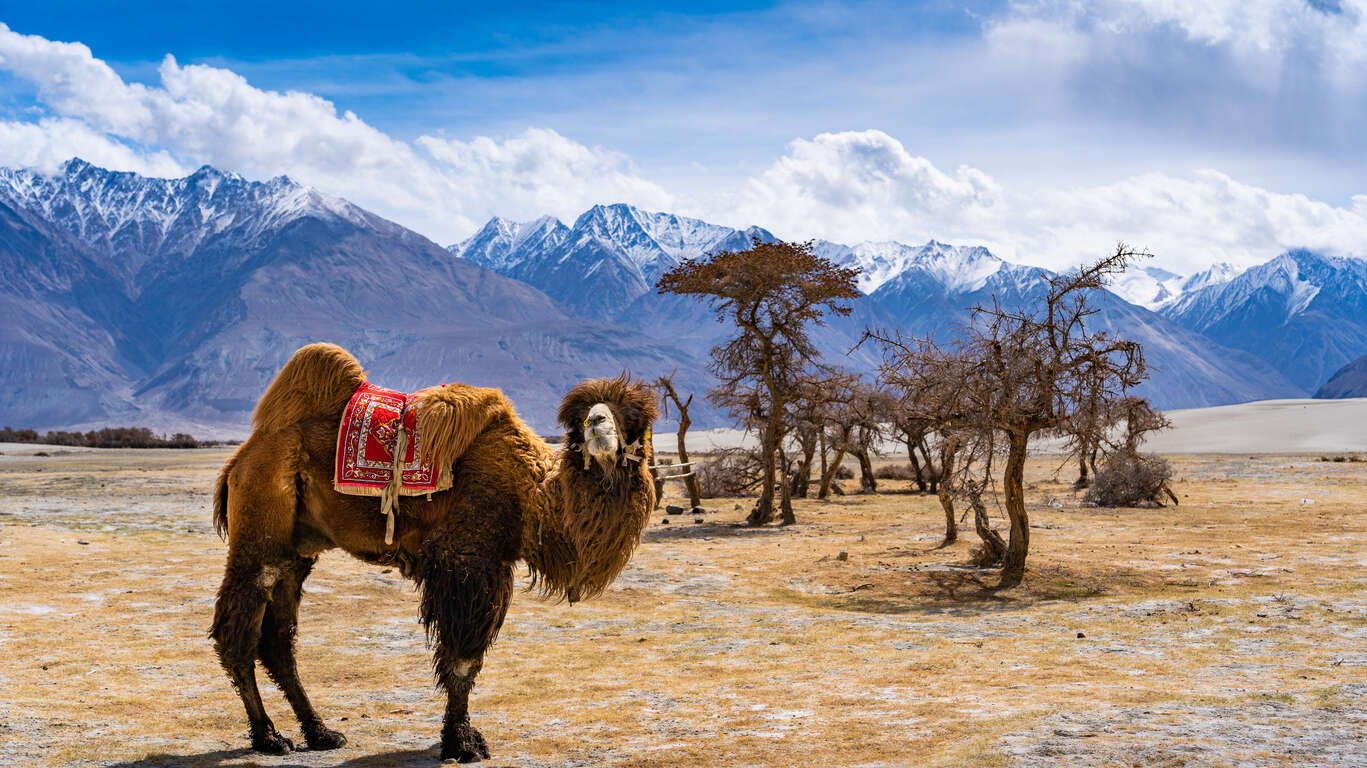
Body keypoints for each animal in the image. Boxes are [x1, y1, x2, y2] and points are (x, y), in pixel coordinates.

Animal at [210, 345, 658, 759]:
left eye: (635, 419)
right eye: (580, 419)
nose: (596, 422)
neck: (531, 496)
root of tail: (240, 460)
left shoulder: (489, 568)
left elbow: (466, 659)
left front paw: (462, 738)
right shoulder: (468, 562)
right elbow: (462, 660)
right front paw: (462, 743)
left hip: (297, 551)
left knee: (279, 642)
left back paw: (321, 733)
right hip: (261, 531)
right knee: (237, 635)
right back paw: (268, 737)